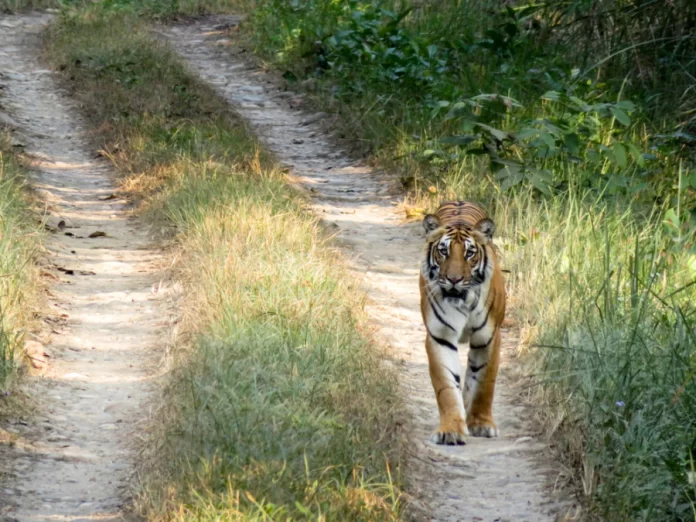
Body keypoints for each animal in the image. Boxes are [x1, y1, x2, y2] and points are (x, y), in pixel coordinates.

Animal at [419, 201, 506, 445]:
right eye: (443, 251)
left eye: (469, 253)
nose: (454, 279)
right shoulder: (440, 337)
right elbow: (447, 386)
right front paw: (451, 430)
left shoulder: (489, 338)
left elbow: (485, 383)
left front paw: (481, 425)